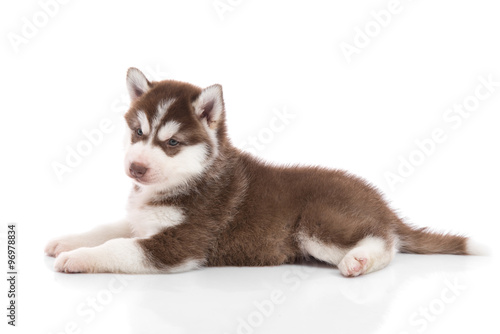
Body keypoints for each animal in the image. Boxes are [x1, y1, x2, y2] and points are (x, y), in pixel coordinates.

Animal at [46, 68, 484, 276]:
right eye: (138, 132)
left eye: (171, 143)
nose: (136, 167)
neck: (190, 178)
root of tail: (379, 199)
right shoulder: (143, 219)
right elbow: (111, 228)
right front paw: (69, 241)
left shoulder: (184, 242)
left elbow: (120, 246)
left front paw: (78, 257)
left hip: (317, 223)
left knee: (385, 241)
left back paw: (358, 261)